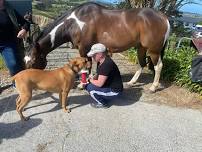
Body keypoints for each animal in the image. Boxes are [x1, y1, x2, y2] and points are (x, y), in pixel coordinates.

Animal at [25, 2, 170, 92]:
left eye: (33, 60)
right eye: (25, 60)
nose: (28, 79)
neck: (74, 23)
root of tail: (163, 17)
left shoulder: (84, 48)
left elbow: (86, 67)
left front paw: (82, 85)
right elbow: (89, 66)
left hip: (153, 50)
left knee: (158, 66)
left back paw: (153, 87)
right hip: (141, 47)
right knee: (141, 63)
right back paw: (132, 82)